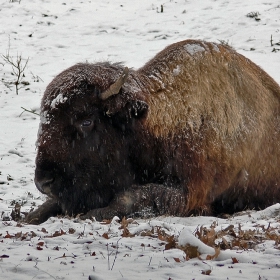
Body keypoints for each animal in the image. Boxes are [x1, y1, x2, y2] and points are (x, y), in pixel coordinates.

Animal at [25, 38, 278, 225]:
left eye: (86, 121)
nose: (43, 181)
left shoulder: (190, 192)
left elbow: (131, 195)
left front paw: (92, 214)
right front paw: (29, 217)